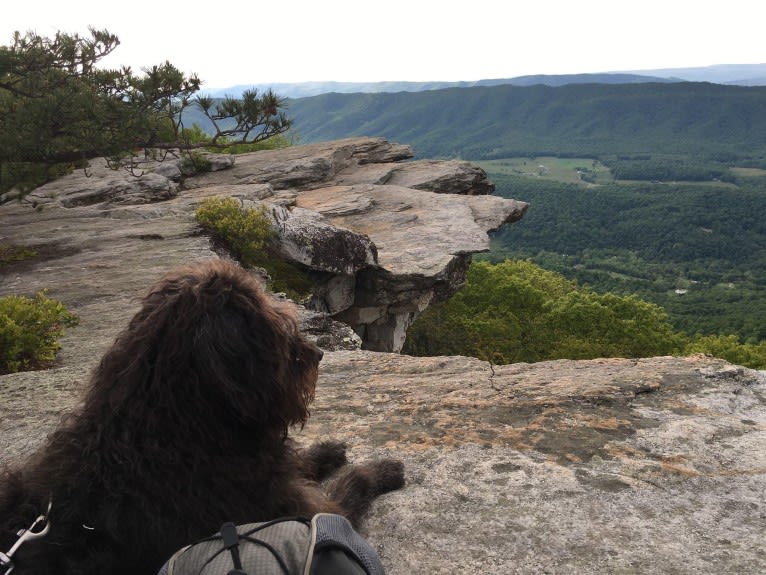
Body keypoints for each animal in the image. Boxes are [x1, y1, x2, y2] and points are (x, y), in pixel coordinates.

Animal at [0, 260, 408, 575]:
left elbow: (301, 464)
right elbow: (350, 486)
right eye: (273, 332)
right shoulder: (305, 514)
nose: (317, 355)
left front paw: (325, 450)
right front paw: (382, 469)